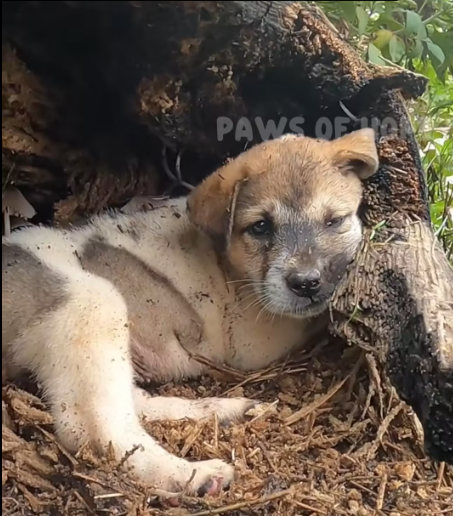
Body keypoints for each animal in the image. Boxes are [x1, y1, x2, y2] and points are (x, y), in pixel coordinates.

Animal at [2, 128, 378, 498]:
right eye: (260, 227)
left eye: (334, 221)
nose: (306, 283)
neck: (224, 259)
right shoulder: (254, 338)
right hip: (92, 305)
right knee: (95, 430)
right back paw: (193, 475)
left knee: (131, 403)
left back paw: (219, 410)